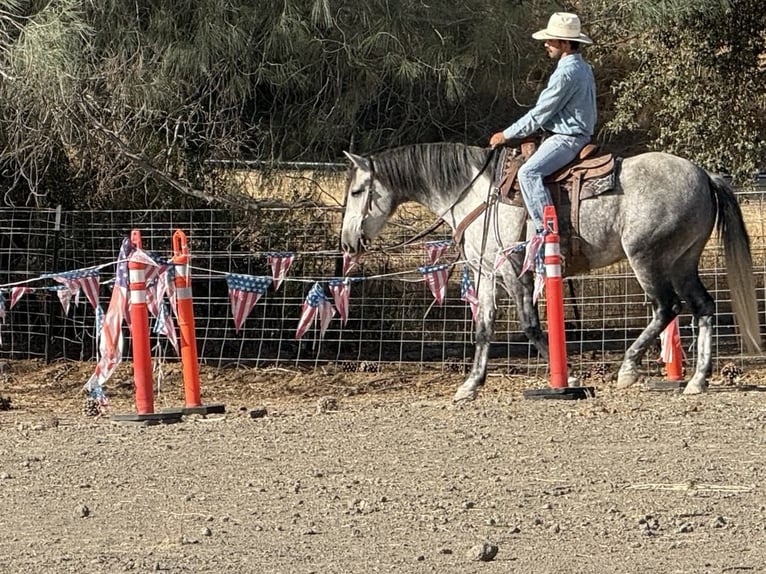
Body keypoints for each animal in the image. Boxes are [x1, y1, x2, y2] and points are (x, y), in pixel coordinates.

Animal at [342, 142, 760, 402]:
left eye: (357, 192)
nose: (347, 242)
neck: (477, 194)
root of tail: (703, 174)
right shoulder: (484, 271)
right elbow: (484, 328)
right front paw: (470, 385)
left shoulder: (514, 271)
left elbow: (529, 325)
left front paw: (569, 377)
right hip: (682, 261)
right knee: (703, 307)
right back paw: (697, 380)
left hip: (647, 257)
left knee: (666, 307)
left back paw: (629, 368)